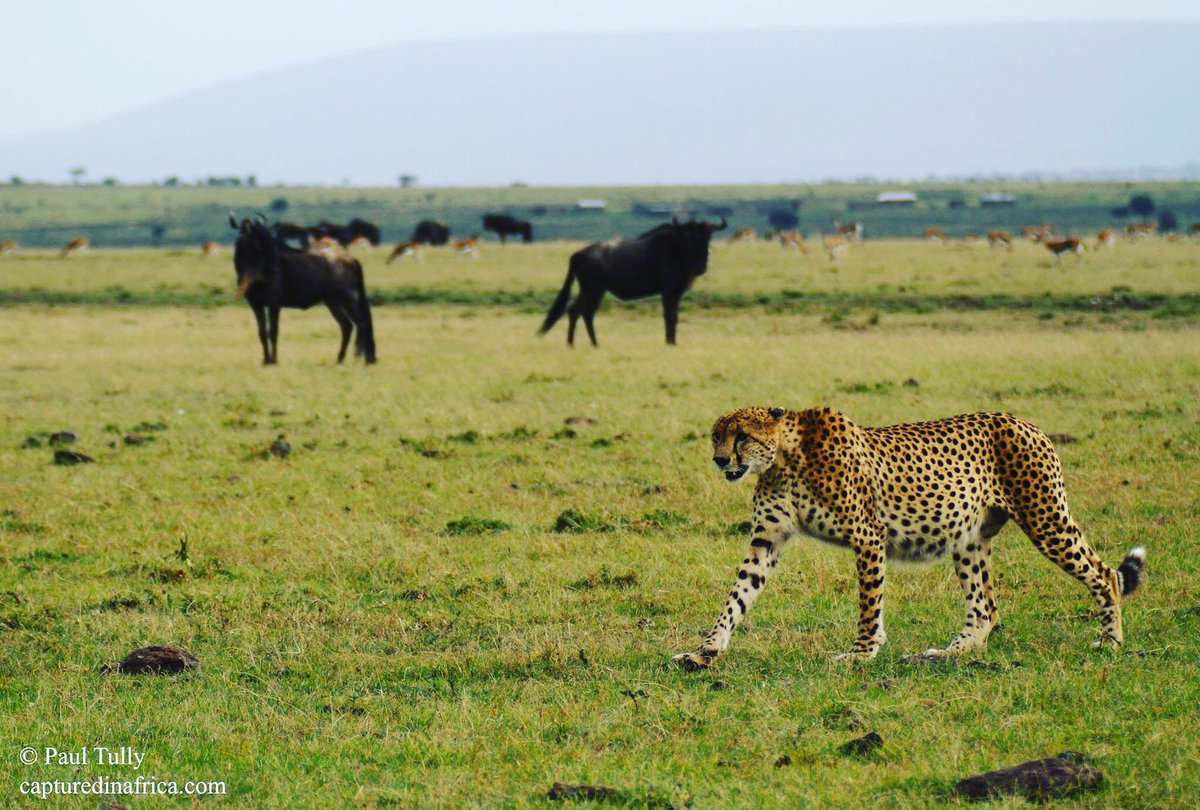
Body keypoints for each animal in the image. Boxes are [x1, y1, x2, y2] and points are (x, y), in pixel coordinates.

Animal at [672, 406, 1145, 669]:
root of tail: (1024, 421)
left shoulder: (867, 535)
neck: (784, 459)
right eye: (716, 436)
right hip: (969, 539)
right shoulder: (766, 541)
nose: (719, 460)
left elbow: (869, 604)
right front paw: (704, 651)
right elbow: (736, 598)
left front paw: (861, 653)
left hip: (1045, 518)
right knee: (985, 609)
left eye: (742, 436)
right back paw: (943, 654)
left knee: (1104, 574)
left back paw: (1110, 641)